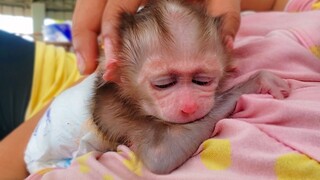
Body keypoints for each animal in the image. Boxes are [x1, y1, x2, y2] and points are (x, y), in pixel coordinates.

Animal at [90, 0, 290, 174]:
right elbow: (161, 156)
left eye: (202, 81)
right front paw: (258, 80)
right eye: (163, 84)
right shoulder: (115, 111)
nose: (189, 107)